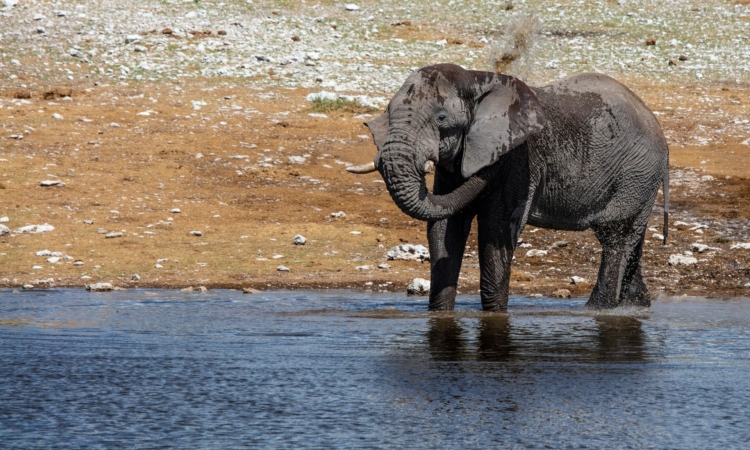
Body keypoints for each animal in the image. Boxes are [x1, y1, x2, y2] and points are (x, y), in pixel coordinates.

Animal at [348, 63, 669, 311]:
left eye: (441, 118)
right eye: (389, 112)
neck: (476, 79)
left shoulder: (519, 160)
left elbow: (497, 227)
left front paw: (494, 314)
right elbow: (445, 226)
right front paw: (440, 313)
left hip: (636, 172)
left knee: (616, 235)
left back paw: (598, 310)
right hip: (639, 179)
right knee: (629, 238)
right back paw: (636, 306)